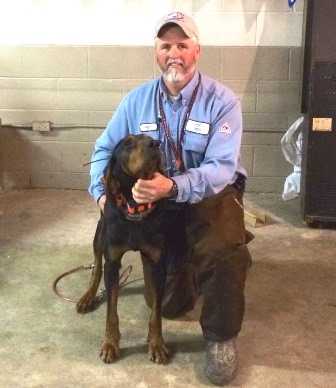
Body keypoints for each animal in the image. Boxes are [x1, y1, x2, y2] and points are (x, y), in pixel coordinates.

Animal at [76, 133, 173, 364]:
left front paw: (156, 343)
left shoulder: (158, 262)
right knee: (96, 267)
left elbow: (156, 311)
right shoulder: (112, 261)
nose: (156, 144)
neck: (135, 209)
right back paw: (88, 296)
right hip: (100, 233)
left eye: (151, 137)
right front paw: (110, 344)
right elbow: (111, 311)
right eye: (127, 143)